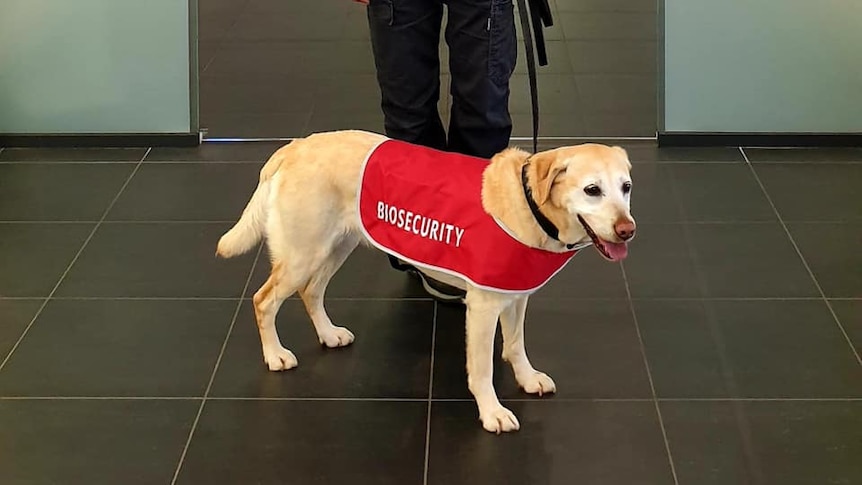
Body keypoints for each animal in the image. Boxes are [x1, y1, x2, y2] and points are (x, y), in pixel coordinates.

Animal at [216, 130, 636, 432]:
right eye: (592, 190)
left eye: (626, 187)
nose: (627, 230)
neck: (529, 203)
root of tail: (295, 146)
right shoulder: (483, 306)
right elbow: (482, 369)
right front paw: (492, 412)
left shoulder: (516, 295)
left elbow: (516, 345)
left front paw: (527, 378)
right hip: (304, 252)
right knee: (264, 300)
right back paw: (275, 355)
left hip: (337, 245)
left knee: (311, 291)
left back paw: (329, 334)